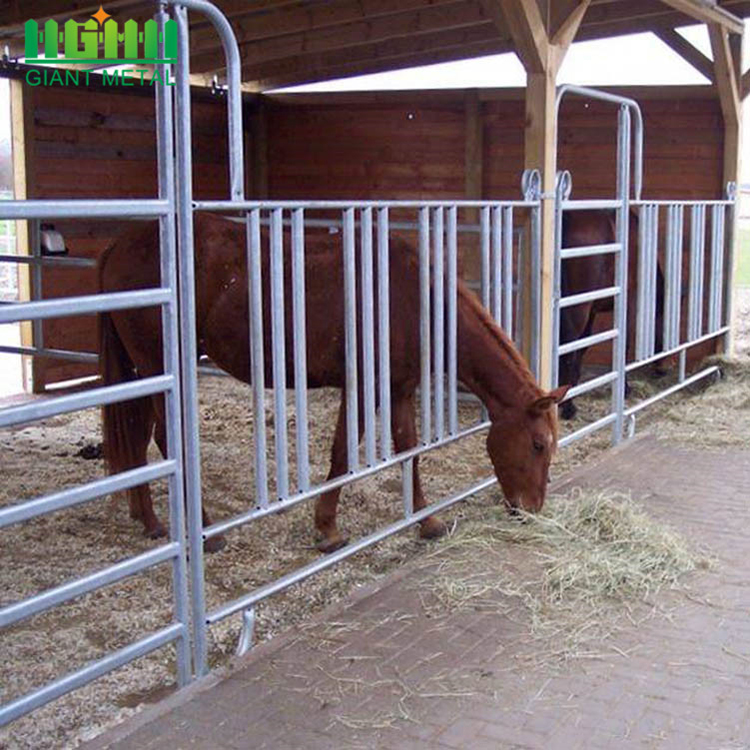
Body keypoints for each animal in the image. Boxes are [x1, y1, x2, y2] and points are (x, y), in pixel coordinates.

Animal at [100, 212, 568, 552]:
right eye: (538, 444)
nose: (530, 510)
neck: (409, 298)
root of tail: (118, 245)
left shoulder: (399, 388)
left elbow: (409, 448)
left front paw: (426, 521)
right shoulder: (361, 386)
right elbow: (343, 452)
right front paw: (327, 529)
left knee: (140, 438)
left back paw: (150, 520)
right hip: (155, 364)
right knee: (164, 439)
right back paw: (205, 532)